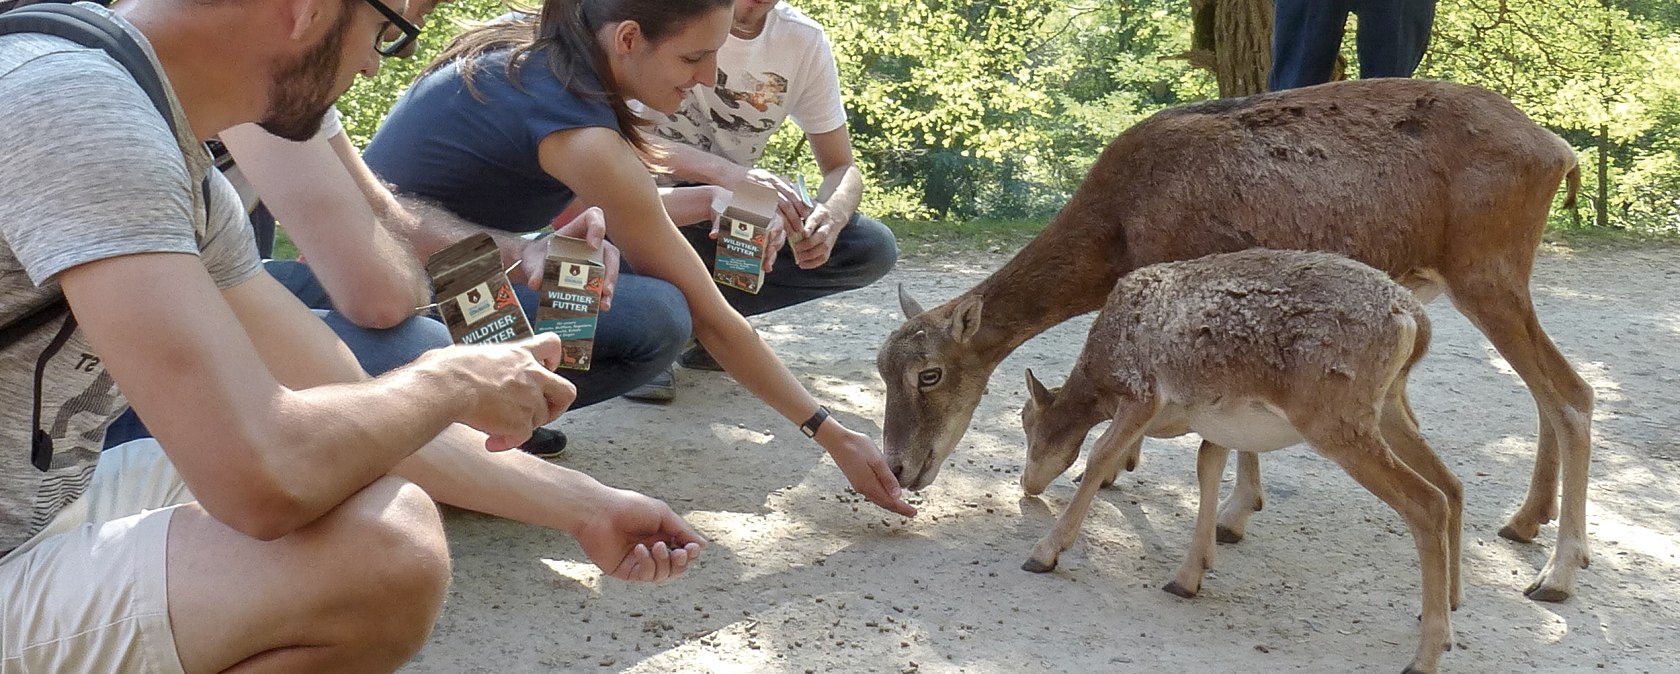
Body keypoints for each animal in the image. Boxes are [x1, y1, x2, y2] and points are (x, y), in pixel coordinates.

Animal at [1014, 248, 1464, 672]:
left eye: (1026, 420)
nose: (1027, 483)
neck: (1099, 378)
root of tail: (1415, 321)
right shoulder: (1216, 421)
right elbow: (1206, 466)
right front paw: (1189, 576)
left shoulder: (1140, 393)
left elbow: (1099, 458)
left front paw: (1044, 552)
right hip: (1387, 409)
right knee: (1452, 484)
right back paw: (1448, 608)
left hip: (1335, 424)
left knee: (1428, 502)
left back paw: (1425, 655)